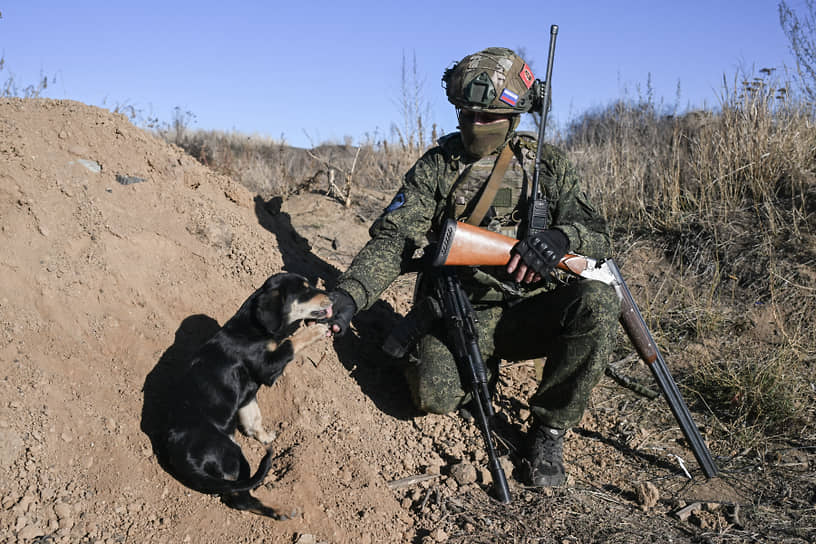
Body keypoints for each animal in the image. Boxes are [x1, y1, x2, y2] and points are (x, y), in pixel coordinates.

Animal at [163, 272, 332, 520]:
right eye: (304, 290)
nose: (332, 298)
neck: (254, 329)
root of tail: (181, 456)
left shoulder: (248, 393)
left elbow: (253, 417)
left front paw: (264, 436)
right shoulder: (267, 368)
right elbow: (290, 343)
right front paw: (314, 331)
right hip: (233, 455)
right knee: (240, 498)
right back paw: (281, 509)